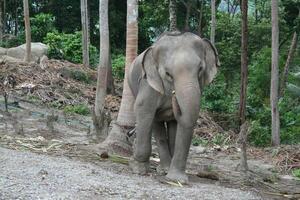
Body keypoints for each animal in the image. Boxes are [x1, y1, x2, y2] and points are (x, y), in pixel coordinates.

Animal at [127, 30, 220, 183]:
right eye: (168, 74)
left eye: (200, 69)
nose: (175, 96)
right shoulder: (148, 84)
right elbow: (143, 109)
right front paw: (138, 169)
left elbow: (180, 122)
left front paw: (177, 179)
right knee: (155, 124)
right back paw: (162, 168)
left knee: (167, 125)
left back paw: (165, 169)